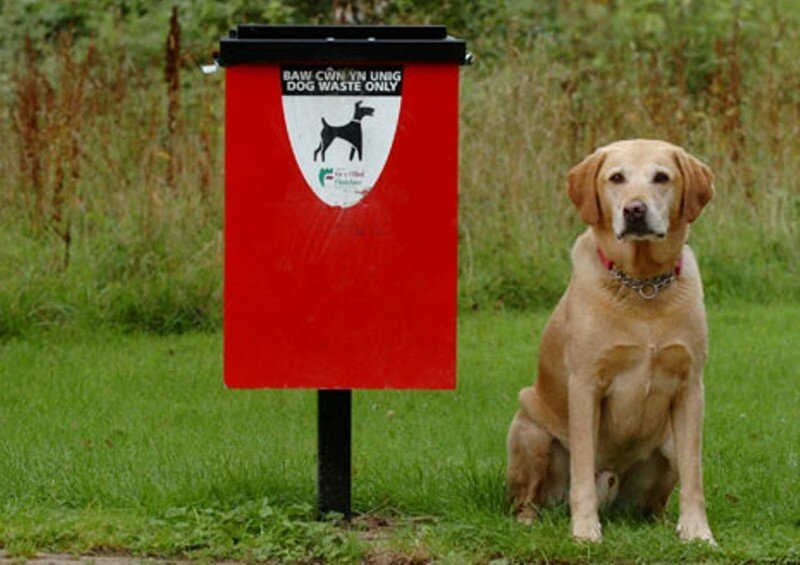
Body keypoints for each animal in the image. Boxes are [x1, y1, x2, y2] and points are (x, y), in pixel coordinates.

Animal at [506, 138, 712, 540]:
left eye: (661, 177)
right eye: (616, 178)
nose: (635, 210)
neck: (643, 286)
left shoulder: (690, 386)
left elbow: (695, 477)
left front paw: (698, 533)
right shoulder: (586, 384)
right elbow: (582, 472)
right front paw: (585, 531)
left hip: (668, 446)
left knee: (654, 505)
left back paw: (665, 524)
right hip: (529, 430)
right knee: (527, 498)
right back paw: (528, 521)